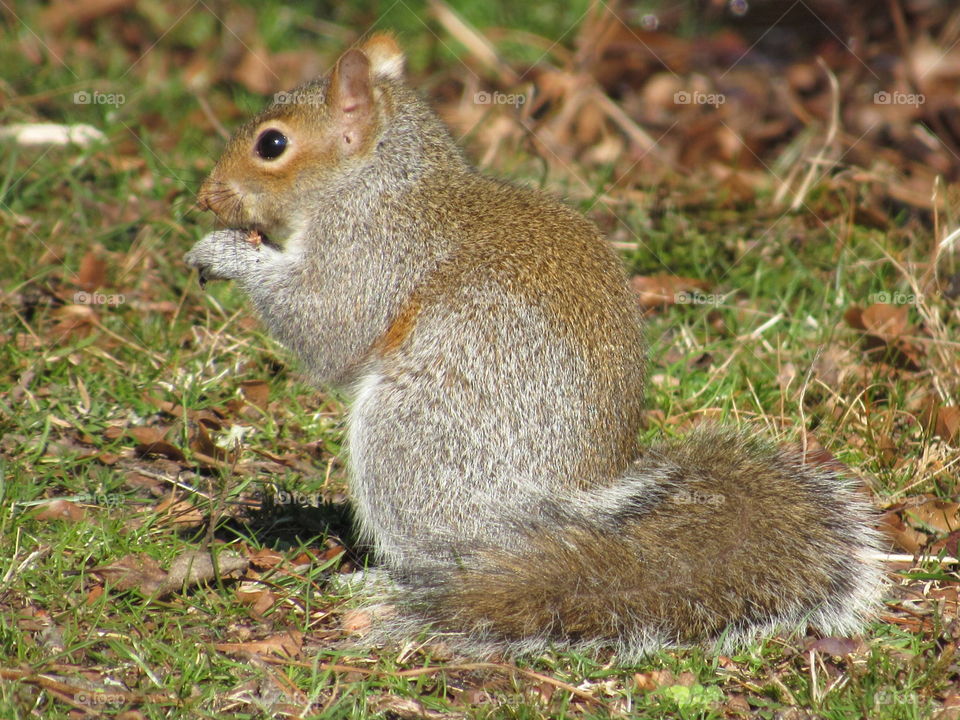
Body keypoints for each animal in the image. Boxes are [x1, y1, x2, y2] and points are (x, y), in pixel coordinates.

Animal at [185, 33, 885, 660]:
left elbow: (328, 327)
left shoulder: (371, 254)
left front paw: (223, 253)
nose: (202, 197)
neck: (377, 182)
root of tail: (568, 515)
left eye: (272, 144)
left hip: (415, 440)